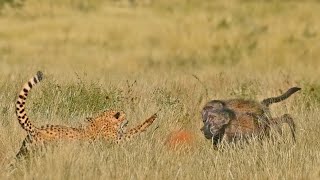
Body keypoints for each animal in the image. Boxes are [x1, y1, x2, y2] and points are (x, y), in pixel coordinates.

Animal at [15, 71, 158, 158]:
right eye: (125, 118)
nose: (127, 121)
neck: (105, 119)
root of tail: (37, 129)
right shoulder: (117, 141)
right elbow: (133, 131)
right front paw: (151, 119)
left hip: (24, 152)